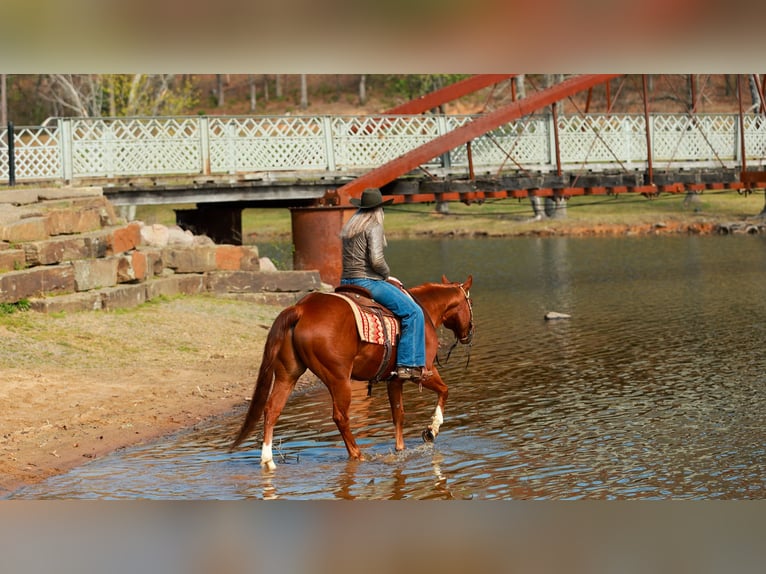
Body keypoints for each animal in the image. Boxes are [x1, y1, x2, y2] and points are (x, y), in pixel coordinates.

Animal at [230, 275, 474, 470]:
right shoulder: (424, 371)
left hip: (287, 375)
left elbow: (398, 414)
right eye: (470, 303)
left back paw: (268, 461)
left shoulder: (394, 380)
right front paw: (432, 430)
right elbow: (444, 391)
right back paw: (357, 454)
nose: (469, 333)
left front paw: (400, 450)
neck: (424, 311)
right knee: (340, 416)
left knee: (272, 409)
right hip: (339, 379)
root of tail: (301, 308)